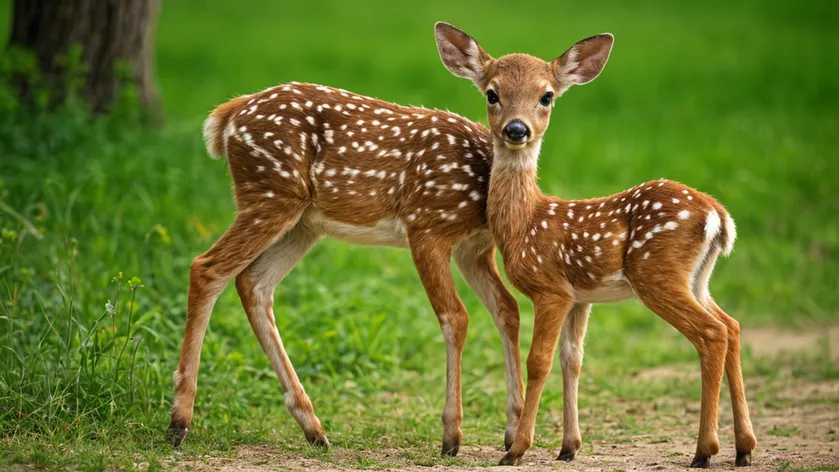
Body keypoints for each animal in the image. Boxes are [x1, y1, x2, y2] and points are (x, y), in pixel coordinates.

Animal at [169, 88, 524, 454]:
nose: (517, 131)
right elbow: (455, 316)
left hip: (303, 222)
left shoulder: (474, 250)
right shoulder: (427, 228)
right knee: (207, 267)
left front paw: (513, 431)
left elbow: (507, 309)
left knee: (252, 282)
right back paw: (179, 423)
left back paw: (313, 429)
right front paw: (452, 435)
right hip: (271, 194)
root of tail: (230, 113)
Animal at [436, 20, 756, 466]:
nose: (516, 129)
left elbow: (539, 360)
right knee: (733, 325)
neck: (525, 222)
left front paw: (517, 449)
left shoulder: (551, 289)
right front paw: (568, 447)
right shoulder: (581, 297)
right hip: (697, 279)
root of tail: (718, 217)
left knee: (712, 334)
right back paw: (744, 448)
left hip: (656, 273)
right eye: (492, 93)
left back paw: (705, 451)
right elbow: (573, 359)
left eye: (546, 96)